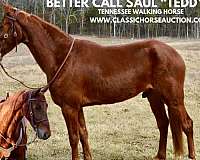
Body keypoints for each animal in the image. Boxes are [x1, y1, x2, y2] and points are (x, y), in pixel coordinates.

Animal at [0, 2, 195, 160]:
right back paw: (160, 155)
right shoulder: (78, 107)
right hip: (154, 96)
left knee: (187, 124)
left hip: (174, 98)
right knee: (163, 123)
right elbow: (83, 134)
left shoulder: (69, 107)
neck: (62, 57)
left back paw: (191, 155)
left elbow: (73, 138)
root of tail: (174, 53)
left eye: (2, 28)